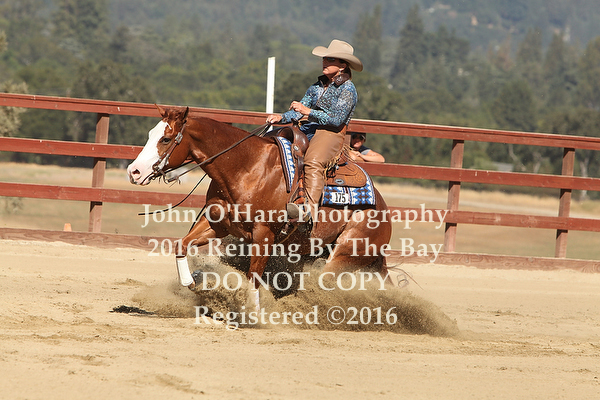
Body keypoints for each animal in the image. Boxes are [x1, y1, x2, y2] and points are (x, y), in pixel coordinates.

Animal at [127, 105, 393, 306]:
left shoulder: (264, 235)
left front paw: (252, 311)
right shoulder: (217, 224)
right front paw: (192, 281)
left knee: (322, 282)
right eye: (151, 134)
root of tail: (383, 209)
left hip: (346, 253)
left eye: (166, 139)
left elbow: (253, 276)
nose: (134, 171)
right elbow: (181, 245)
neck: (247, 168)